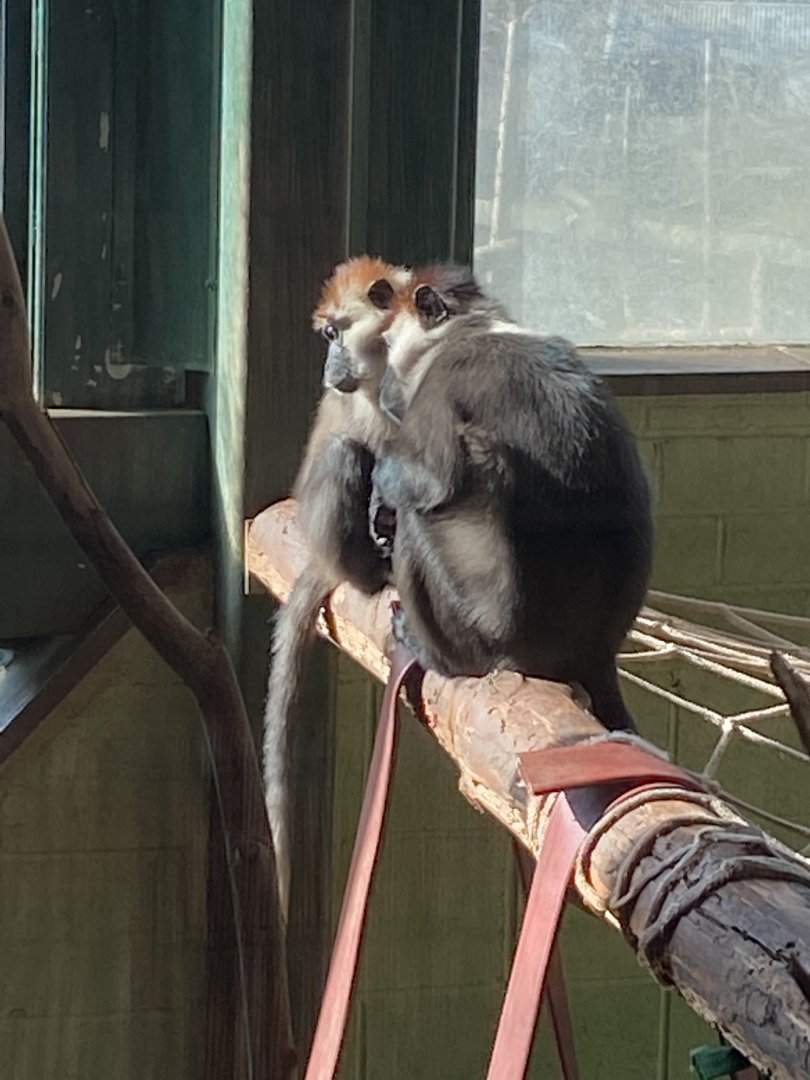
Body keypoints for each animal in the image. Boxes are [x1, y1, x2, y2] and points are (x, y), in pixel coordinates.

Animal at [369, 264, 653, 733]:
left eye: (389, 347)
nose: (386, 387)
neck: (475, 328)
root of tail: (594, 654)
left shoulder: (441, 381)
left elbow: (430, 480)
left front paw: (382, 495)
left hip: (478, 628)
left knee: (429, 508)